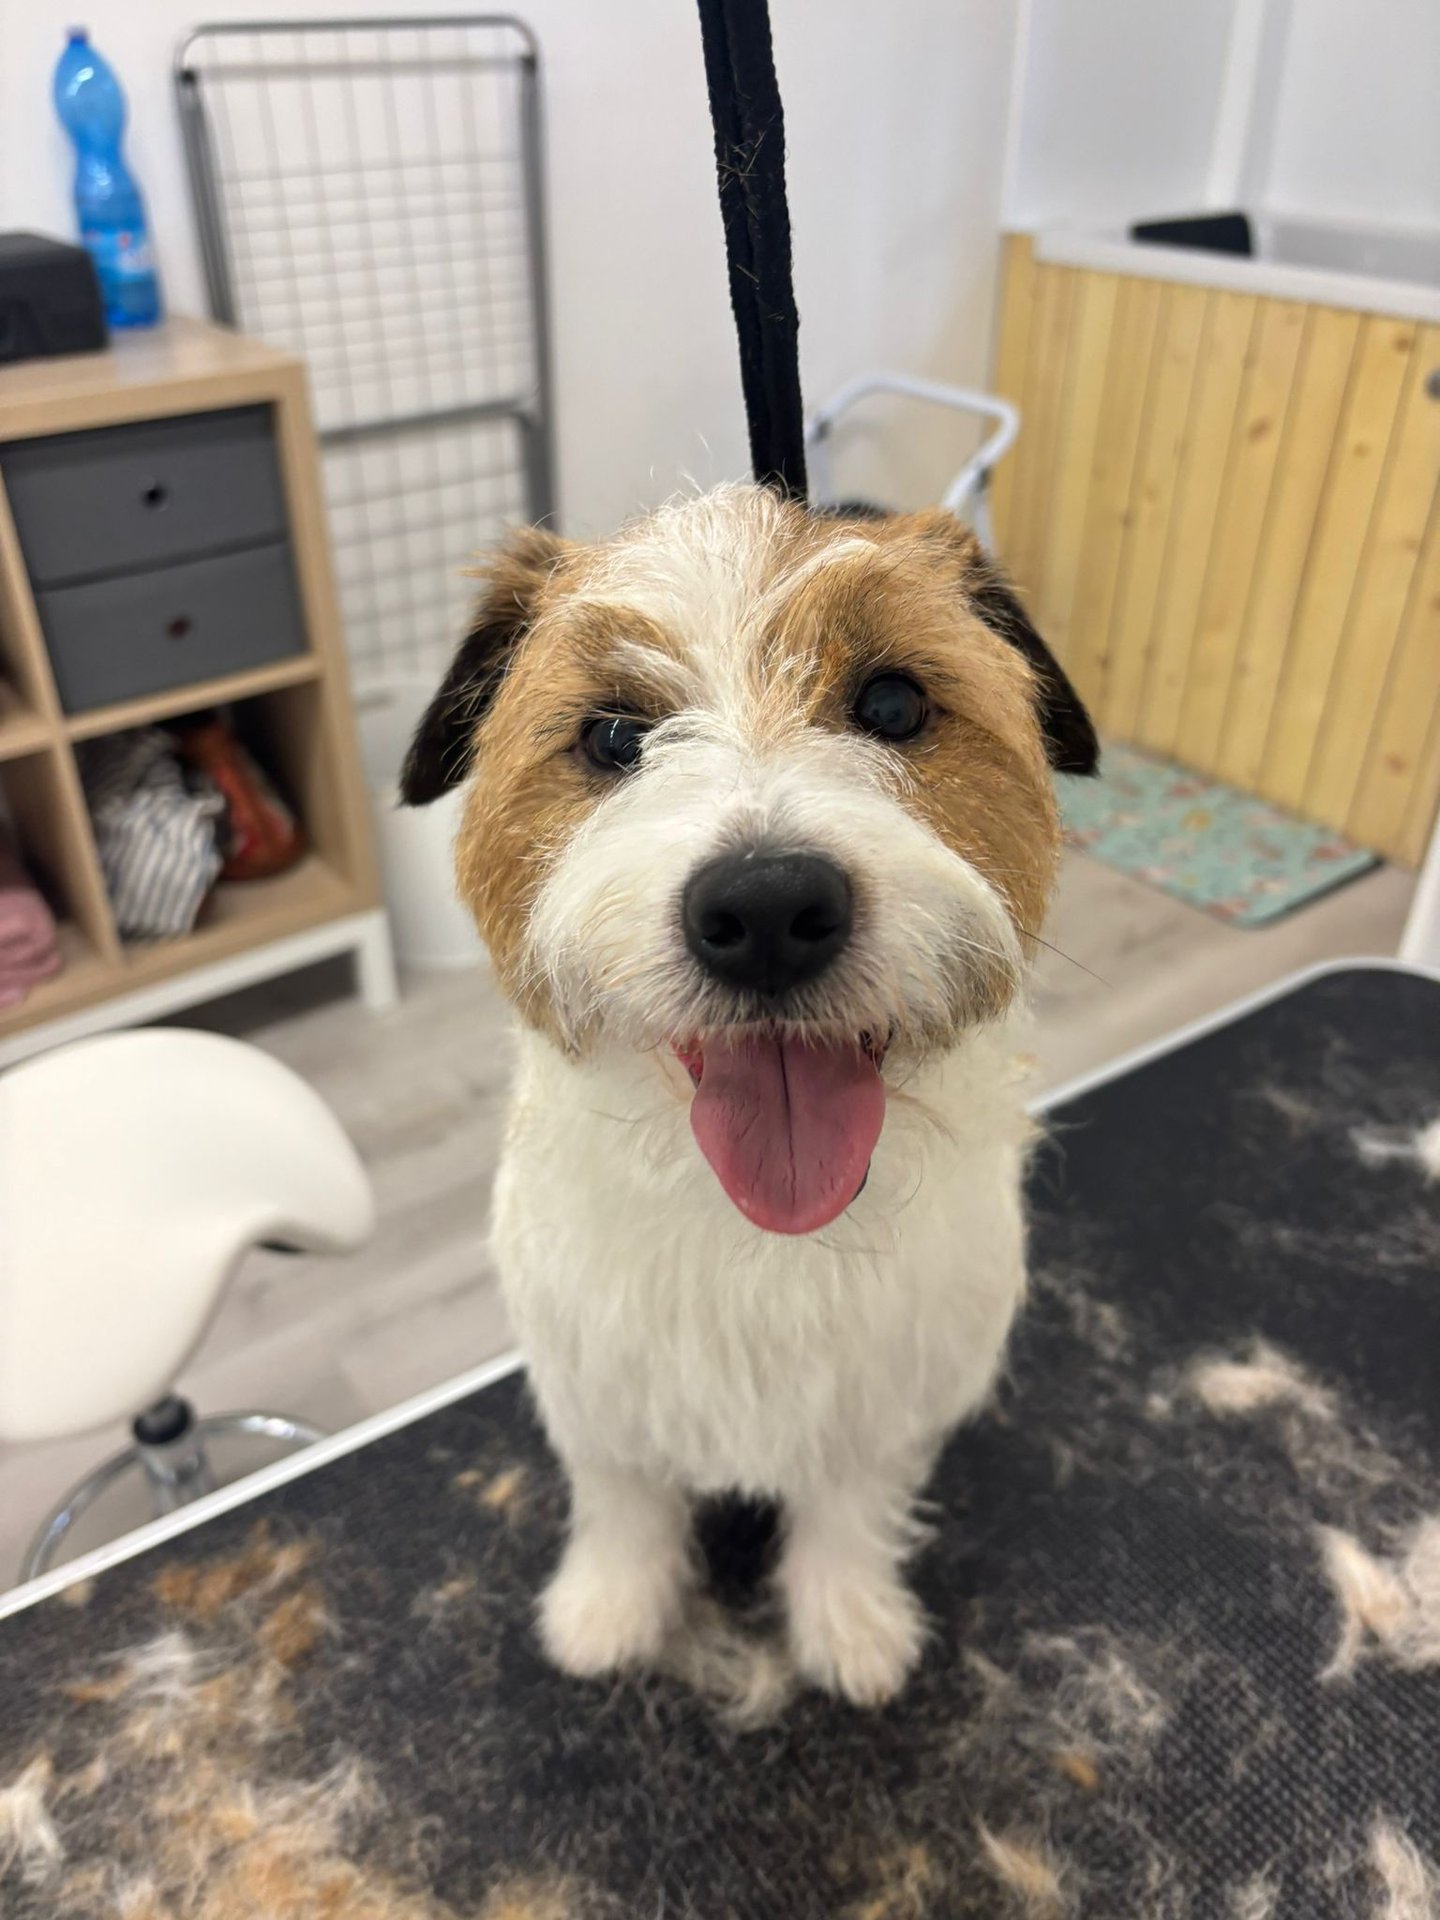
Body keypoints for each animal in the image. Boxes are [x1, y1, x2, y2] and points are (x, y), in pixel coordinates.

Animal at [402, 484, 1097, 1705]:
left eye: (893, 703)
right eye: (615, 735)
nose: (768, 908)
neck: (758, 1233)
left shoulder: (884, 1396)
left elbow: (851, 1503)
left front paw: (849, 1624)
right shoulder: (597, 1386)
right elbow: (624, 1504)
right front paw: (608, 1613)